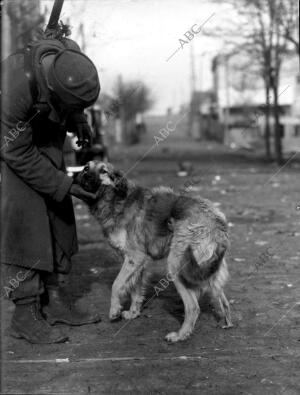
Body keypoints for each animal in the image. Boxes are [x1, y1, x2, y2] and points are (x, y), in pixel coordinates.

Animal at [77, 161, 232, 344]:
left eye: (103, 171)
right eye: (86, 167)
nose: (85, 175)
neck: (118, 200)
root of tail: (217, 220)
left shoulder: (134, 257)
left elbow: (116, 284)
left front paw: (114, 310)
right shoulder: (138, 262)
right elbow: (135, 289)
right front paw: (133, 313)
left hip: (176, 266)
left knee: (193, 307)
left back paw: (180, 335)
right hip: (205, 269)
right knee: (222, 298)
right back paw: (225, 323)